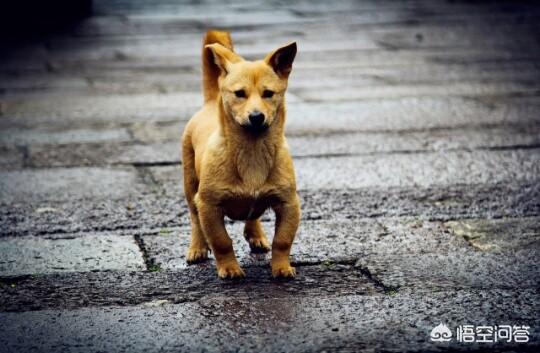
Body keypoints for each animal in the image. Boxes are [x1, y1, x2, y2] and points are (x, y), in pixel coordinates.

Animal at [181, 30, 300, 278]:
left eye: (268, 94)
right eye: (239, 94)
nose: (256, 116)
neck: (251, 148)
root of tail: (209, 103)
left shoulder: (289, 203)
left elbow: (282, 240)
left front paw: (281, 267)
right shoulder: (208, 206)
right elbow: (221, 241)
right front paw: (230, 268)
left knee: (252, 215)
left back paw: (257, 236)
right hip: (190, 185)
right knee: (194, 218)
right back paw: (197, 248)